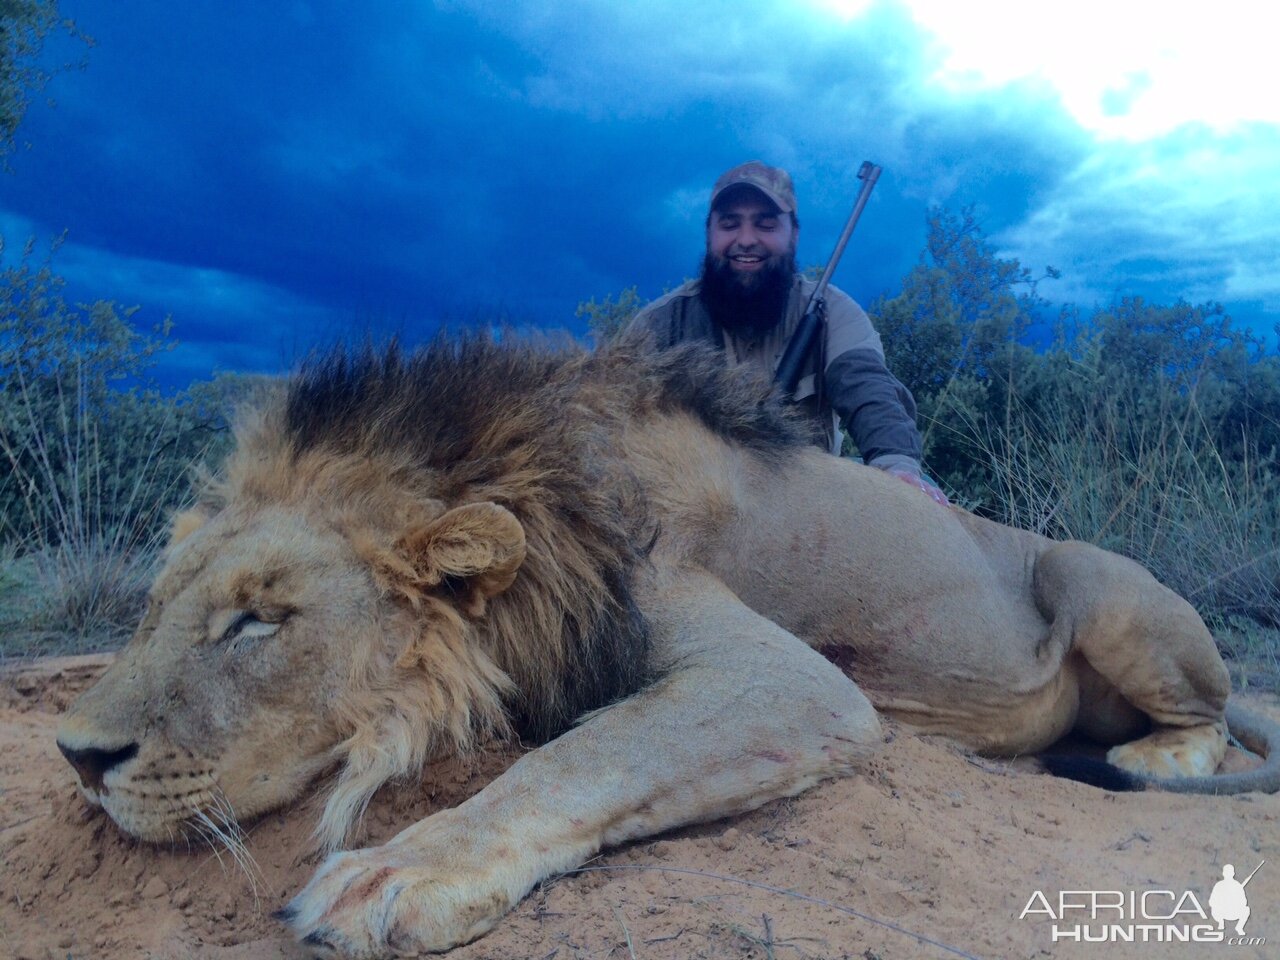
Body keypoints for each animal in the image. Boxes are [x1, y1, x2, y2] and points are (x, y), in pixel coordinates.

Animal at [57, 330, 1280, 957]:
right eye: (158, 605)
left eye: (258, 620)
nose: (77, 758)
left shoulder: (784, 678)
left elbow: (580, 756)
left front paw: (394, 872)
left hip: (1088, 574)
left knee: (1206, 721)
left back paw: (1143, 759)